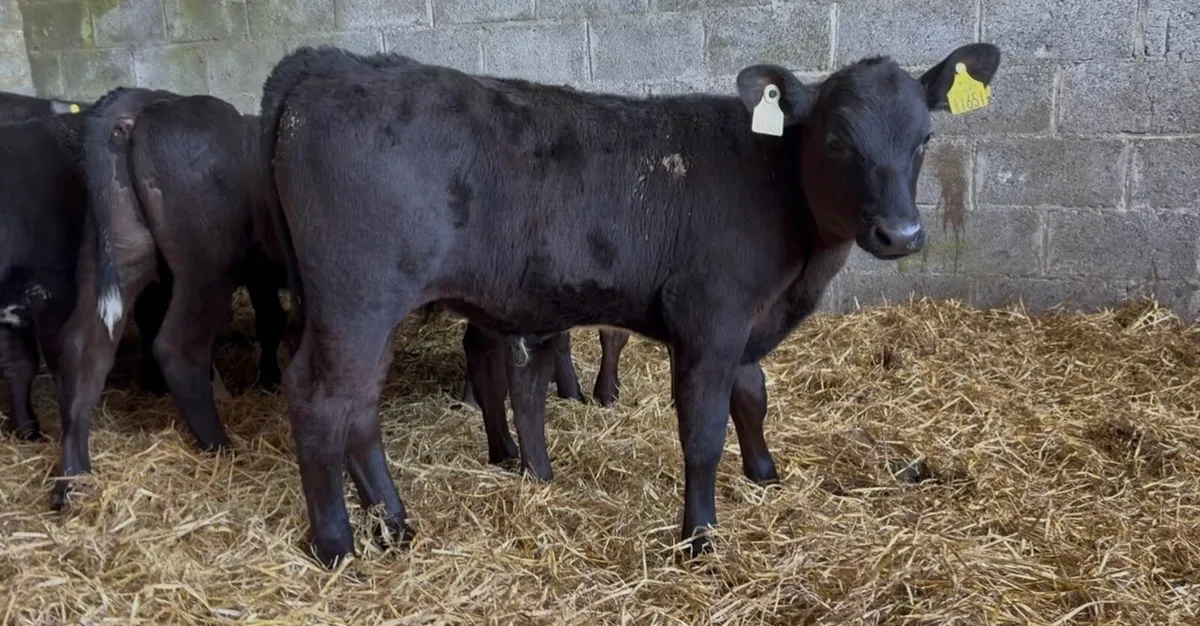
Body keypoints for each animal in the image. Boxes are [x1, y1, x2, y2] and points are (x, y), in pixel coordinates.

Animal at [47, 88, 289, 509]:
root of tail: (146, 101)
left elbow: (272, 322)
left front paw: (270, 378)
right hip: (206, 264)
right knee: (178, 346)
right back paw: (221, 447)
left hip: (120, 246)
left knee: (82, 345)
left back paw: (72, 480)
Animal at [259, 42, 1002, 567]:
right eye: (838, 139)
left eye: (924, 140)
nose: (901, 234)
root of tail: (329, 64)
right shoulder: (709, 314)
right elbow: (702, 431)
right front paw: (699, 538)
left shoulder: (743, 323)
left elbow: (753, 395)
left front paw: (765, 474)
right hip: (356, 300)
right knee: (322, 400)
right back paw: (336, 546)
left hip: (364, 312)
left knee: (360, 407)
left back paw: (395, 524)